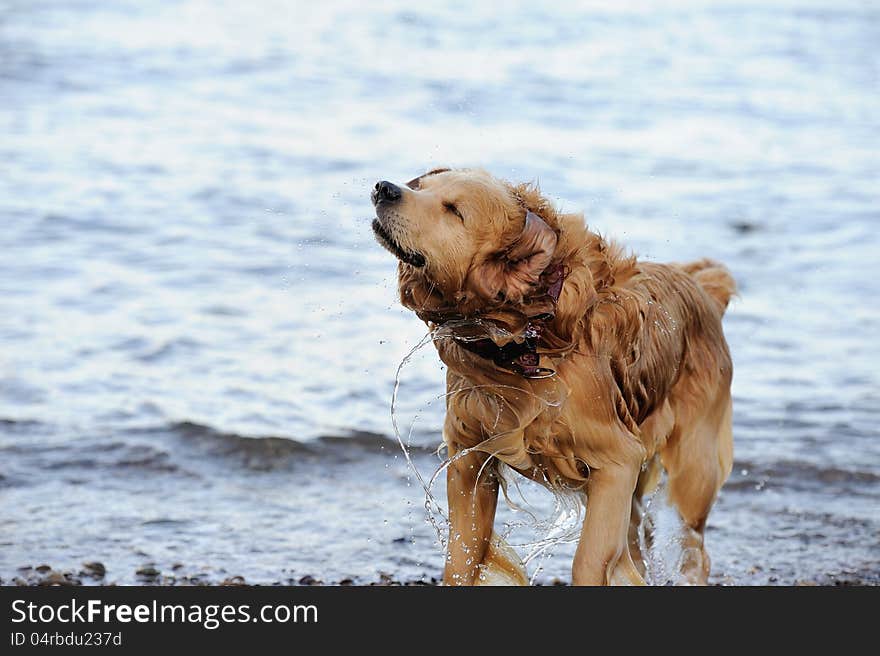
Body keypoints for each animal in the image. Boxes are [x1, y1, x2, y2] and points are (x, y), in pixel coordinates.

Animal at [372, 168, 736, 584]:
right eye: (421, 187)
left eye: (454, 211)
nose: (384, 188)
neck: (530, 339)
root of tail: (702, 290)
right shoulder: (470, 453)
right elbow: (461, 556)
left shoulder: (618, 461)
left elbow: (590, 558)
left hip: (694, 471)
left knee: (692, 544)